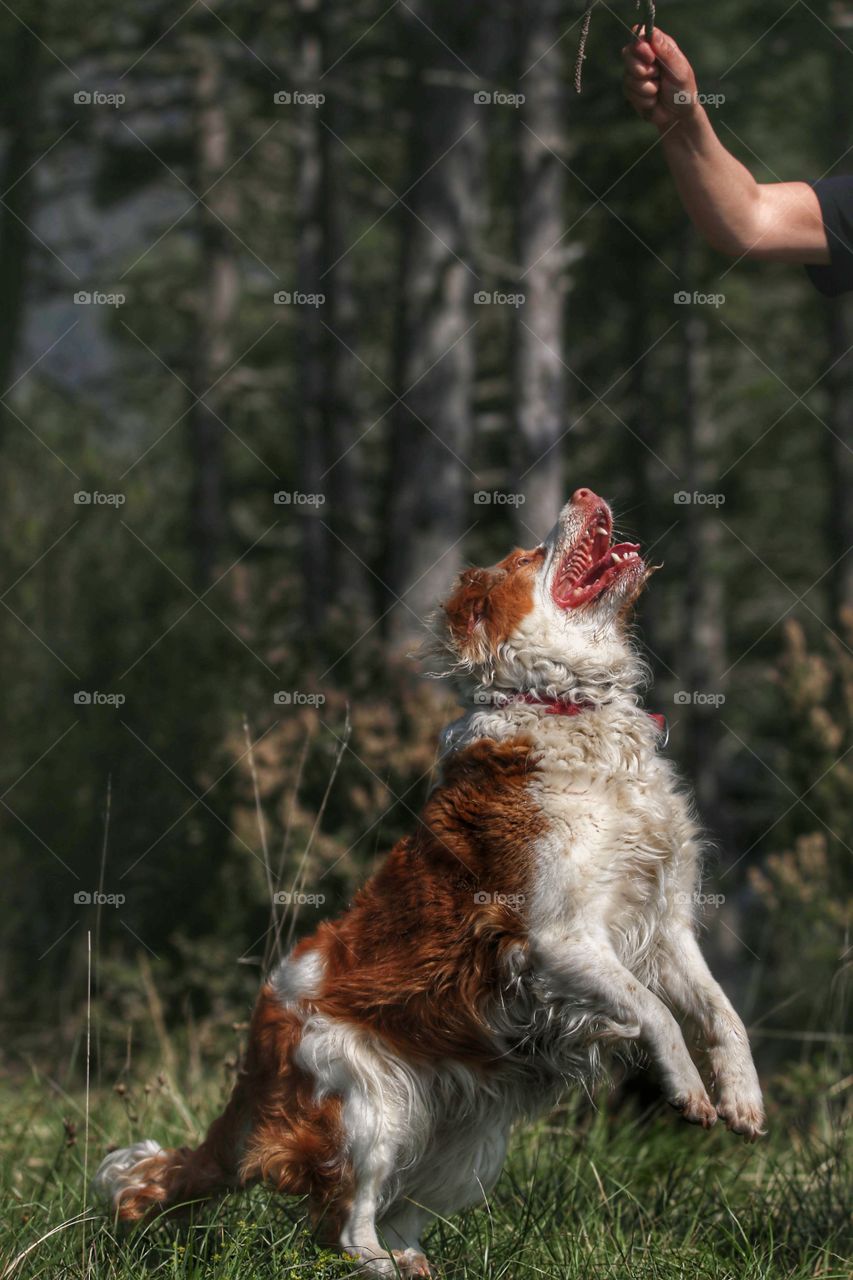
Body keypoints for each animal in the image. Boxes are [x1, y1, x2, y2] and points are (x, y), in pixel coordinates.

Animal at [94, 486, 763, 1269]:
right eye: (525, 557)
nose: (584, 493)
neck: (569, 708)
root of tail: (254, 1060)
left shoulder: (665, 928)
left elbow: (721, 1014)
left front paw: (742, 1099)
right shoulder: (560, 941)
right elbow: (655, 1012)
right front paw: (687, 1091)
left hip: (466, 1130)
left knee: (399, 1214)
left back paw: (418, 1266)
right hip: (369, 1109)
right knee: (345, 1227)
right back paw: (382, 1268)